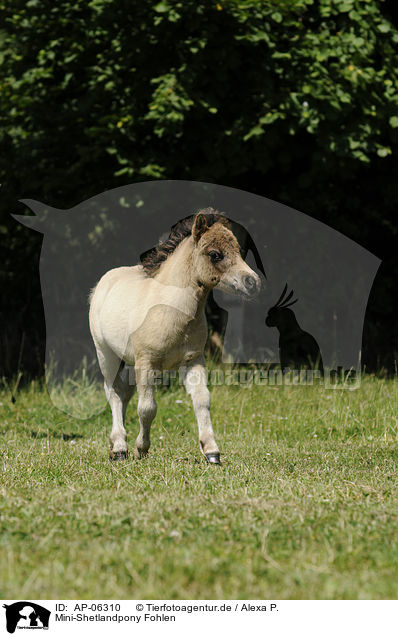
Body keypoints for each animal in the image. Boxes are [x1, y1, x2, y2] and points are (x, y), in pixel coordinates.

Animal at [89, 211, 262, 464]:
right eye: (215, 254)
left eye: (239, 251)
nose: (253, 283)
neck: (173, 310)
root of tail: (105, 281)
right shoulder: (147, 362)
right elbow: (147, 408)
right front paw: (141, 449)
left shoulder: (193, 360)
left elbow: (202, 400)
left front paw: (212, 452)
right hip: (106, 354)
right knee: (113, 392)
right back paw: (120, 447)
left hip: (129, 360)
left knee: (124, 392)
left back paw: (115, 443)